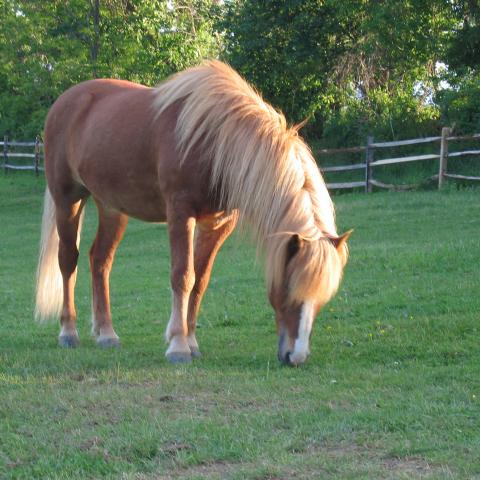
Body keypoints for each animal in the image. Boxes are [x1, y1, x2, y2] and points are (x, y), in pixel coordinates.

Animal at [35, 61, 350, 368]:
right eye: (288, 288)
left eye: (323, 297)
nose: (296, 356)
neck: (214, 141)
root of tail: (64, 101)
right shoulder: (180, 213)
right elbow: (183, 275)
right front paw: (178, 345)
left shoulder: (218, 223)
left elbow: (200, 280)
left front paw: (191, 342)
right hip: (68, 199)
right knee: (68, 260)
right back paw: (68, 331)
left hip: (112, 207)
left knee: (100, 261)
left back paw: (106, 333)